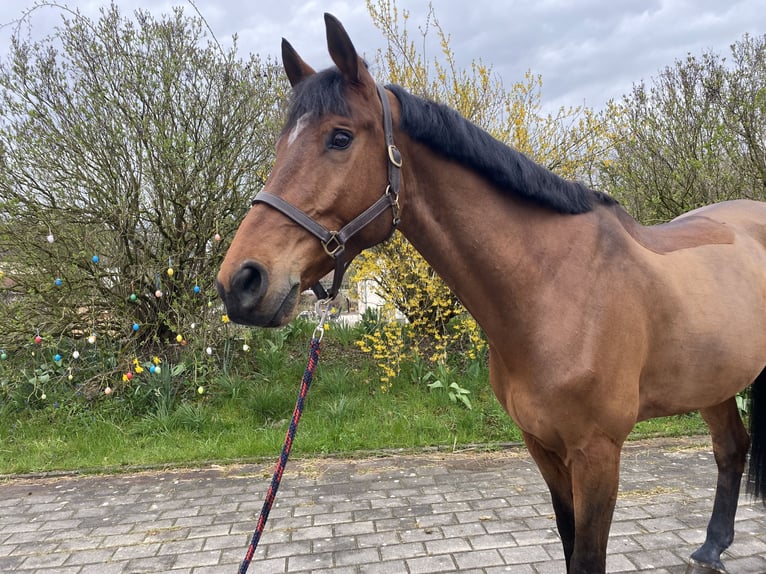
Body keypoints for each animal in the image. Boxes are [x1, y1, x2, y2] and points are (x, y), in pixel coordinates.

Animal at [217, 13, 766, 574]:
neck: (555, 288)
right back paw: (712, 546)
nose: (241, 282)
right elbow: (569, 541)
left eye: (340, 137)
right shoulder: (542, 446)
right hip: (714, 383)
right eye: (281, 147)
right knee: (731, 447)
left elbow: (587, 556)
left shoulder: (597, 454)